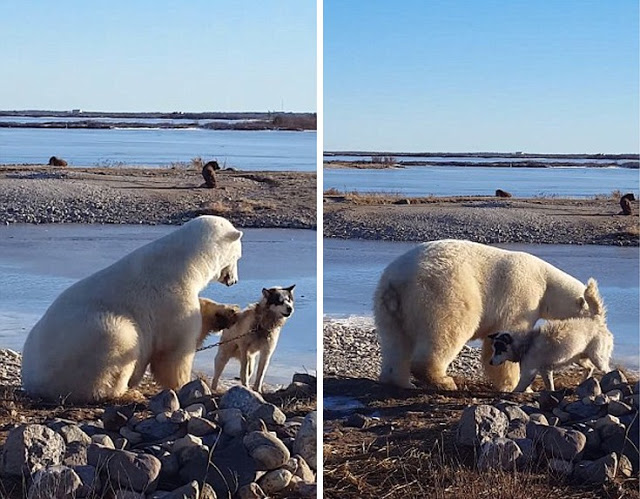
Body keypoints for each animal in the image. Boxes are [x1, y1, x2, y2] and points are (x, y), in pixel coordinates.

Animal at [21, 217, 242, 404]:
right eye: (238, 256)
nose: (234, 281)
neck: (186, 262)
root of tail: (31, 381)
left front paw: (228, 313)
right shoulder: (171, 297)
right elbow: (174, 351)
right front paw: (183, 384)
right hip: (88, 342)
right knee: (121, 340)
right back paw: (127, 393)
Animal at [372, 240, 592, 392]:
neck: (545, 281)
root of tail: (397, 281)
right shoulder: (522, 296)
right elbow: (507, 337)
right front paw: (516, 385)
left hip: (388, 306)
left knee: (395, 342)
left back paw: (400, 382)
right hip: (442, 293)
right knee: (448, 330)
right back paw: (444, 381)